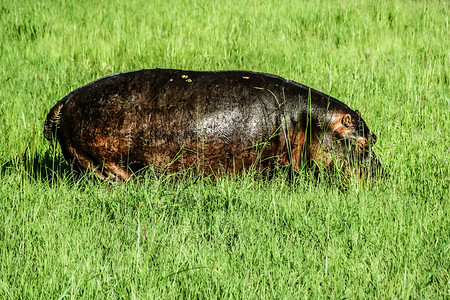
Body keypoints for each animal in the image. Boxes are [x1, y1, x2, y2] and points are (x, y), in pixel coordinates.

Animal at [44, 68, 384, 180]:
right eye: (363, 142)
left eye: (376, 137)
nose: (384, 177)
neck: (309, 120)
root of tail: (67, 99)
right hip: (99, 160)